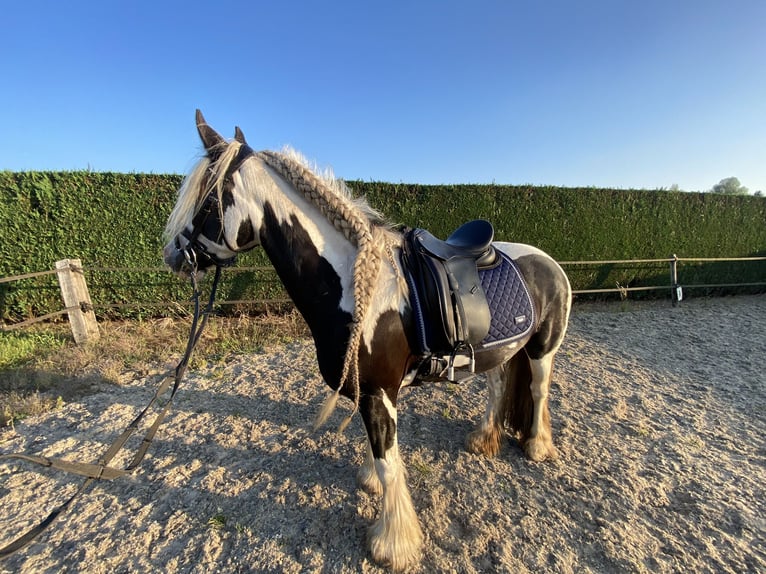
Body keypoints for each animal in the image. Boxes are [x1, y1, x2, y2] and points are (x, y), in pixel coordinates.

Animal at [162, 110, 572, 571]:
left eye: (208, 202)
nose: (174, 254)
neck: (355, 286)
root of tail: (548, 261)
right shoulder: (368, 390)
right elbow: (377, 451)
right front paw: (372, 486)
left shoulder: (378, 392)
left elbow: (389, 462)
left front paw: (393, 545)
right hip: (499, 352)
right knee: (498, 389)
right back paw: (484, 440)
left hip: (542, 349)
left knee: (538, 391)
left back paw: (537, 446)